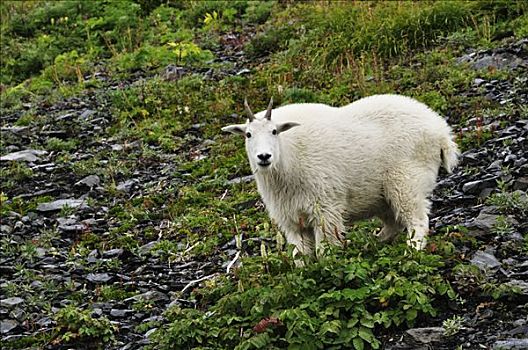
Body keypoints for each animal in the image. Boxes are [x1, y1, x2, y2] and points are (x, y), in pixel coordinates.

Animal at [221, 94, 460, 258]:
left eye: (274, 131)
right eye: (248, 134)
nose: (264, 156)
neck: (286, 157)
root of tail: (442, 133)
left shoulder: (325, 207)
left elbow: (324, 248)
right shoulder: (292, 218)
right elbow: (301, 254)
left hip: (407, 181)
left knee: (417, 220)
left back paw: (411, 250)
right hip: (382, 195)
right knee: (394, 222)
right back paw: (373, 242)